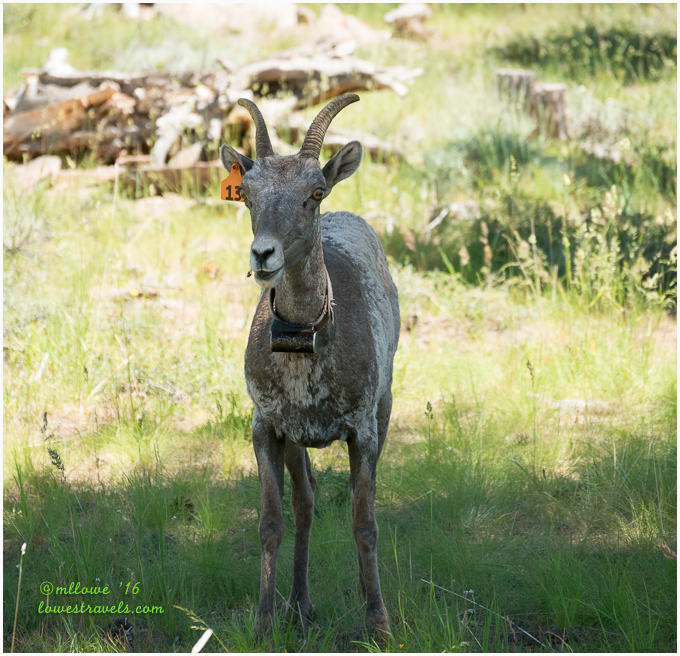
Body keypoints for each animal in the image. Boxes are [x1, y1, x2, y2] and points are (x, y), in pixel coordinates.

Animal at [219, 93, 399, 639]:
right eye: (246, 194)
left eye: (314, 192)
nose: (263, 254)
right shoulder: (268, 426)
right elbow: (271, 522)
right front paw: (262, 623)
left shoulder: (362, 428)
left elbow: (365, 523)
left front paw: (379, 624)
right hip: (297, 440)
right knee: (307, 503)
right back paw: (300, 605)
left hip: (385, 407)